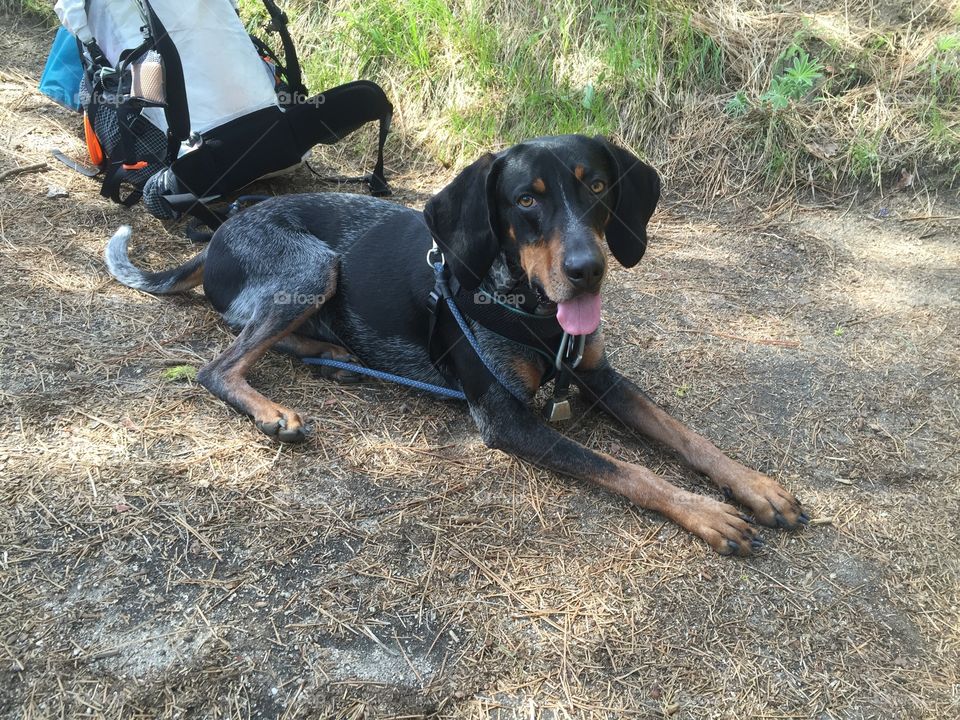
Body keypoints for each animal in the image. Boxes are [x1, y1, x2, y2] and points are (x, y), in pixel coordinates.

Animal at [105, 132, 808, 556]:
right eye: (525, 200)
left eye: (598, 187)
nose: (588, 269)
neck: (532, 312)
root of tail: (219, 235)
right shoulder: (507, 420)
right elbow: (629, 468)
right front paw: (706, 512)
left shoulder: (599, 374)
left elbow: (683, 435)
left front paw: (754, 486)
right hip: (312, 267)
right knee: (220, 363)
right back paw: (275, 409)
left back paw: (338, 360)